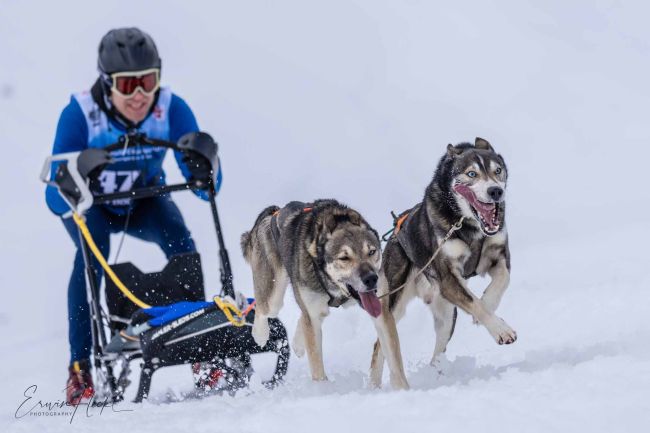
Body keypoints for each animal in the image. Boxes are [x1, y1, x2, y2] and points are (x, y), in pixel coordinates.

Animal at [241, 199, 383, 381]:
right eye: (344, 257)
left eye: (371, 251)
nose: (371, 279)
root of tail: (274, 212)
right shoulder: (312, 316)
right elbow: (317, 365)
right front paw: (322, 387)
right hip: (274, 299)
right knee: (262, 308)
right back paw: (260, 334)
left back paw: (297, 343)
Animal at [370, 138, 516, 390]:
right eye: (471, 173)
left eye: (497, 170)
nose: (495, 191)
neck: (470, 226)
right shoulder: (448, 278)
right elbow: (476, 304)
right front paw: (500, 329)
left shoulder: (499, 256)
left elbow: (499, 284)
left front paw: (488, 305)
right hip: (393, 302)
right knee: (379, 346)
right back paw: (375, 386)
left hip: (447, 315)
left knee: (438, 350)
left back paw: (437, 372)